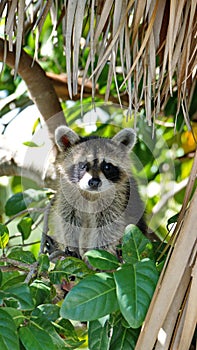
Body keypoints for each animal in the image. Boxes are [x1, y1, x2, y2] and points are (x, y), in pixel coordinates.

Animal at [47, 126, 146, 258]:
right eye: (83, 165)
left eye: (107, 167)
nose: (94, 182)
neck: (91, 194)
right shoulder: (68, 196)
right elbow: (68, 220)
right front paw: (72, 247)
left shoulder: (117, 200)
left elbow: (108, 228)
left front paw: (96, 253)